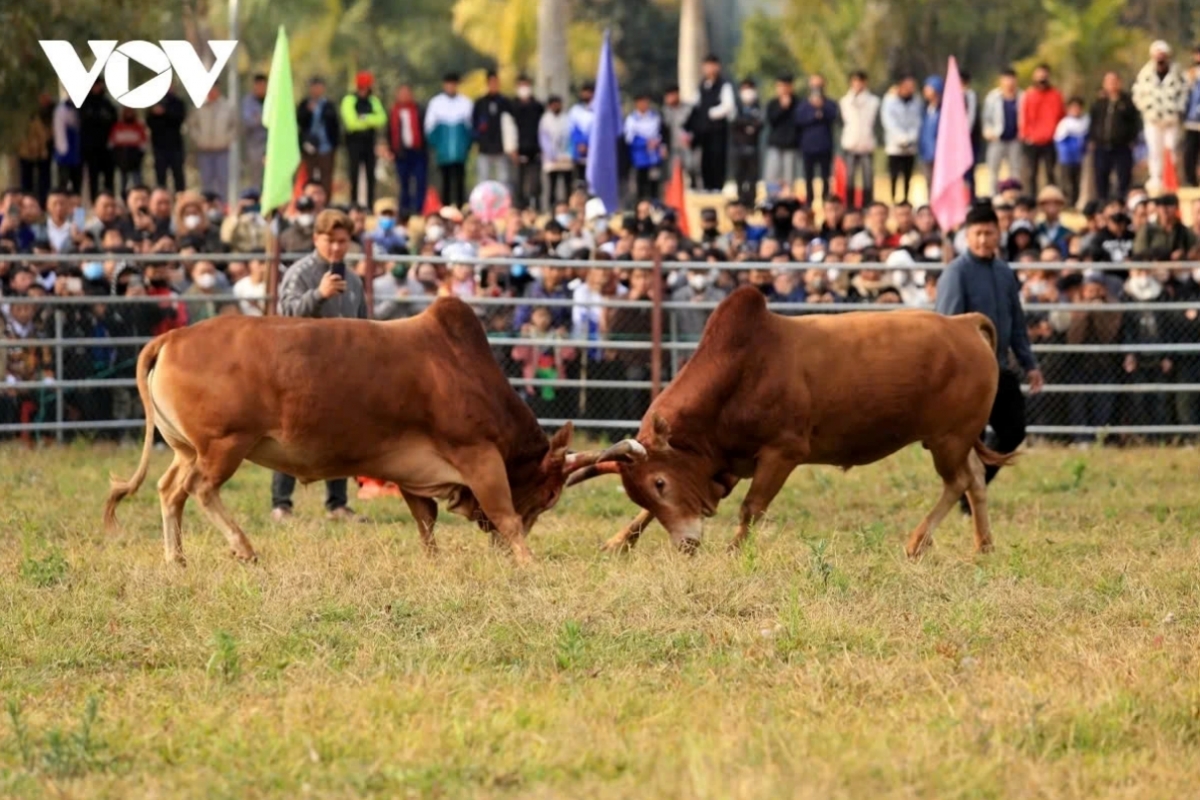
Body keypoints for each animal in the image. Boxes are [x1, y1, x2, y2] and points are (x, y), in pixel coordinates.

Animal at [105, 297, 638, 566]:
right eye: (548, 496)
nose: (504, 550)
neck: (462, 367)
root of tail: (172, 336)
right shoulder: (478, 455)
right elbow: (503, 512)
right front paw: (528, 560)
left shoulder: (411, 473)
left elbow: (425, 521)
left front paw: (435, 562)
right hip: (223, 446)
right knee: (200, 490)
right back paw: (243, 547)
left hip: (187, 449)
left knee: (170, 490)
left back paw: (177, 559)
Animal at [571, 286, 1012, 556]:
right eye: (642, 492)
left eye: (661, 483)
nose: (687, 545)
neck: (741, 370)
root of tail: (963, 323)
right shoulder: (726, 463)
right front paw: (618, 541)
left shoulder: (783, 452)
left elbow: (752, 507)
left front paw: (734, 550)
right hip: (956, 440)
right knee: (975, 478)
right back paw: (984, 544)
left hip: (948, 438)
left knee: (958, 481)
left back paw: (918, 541)